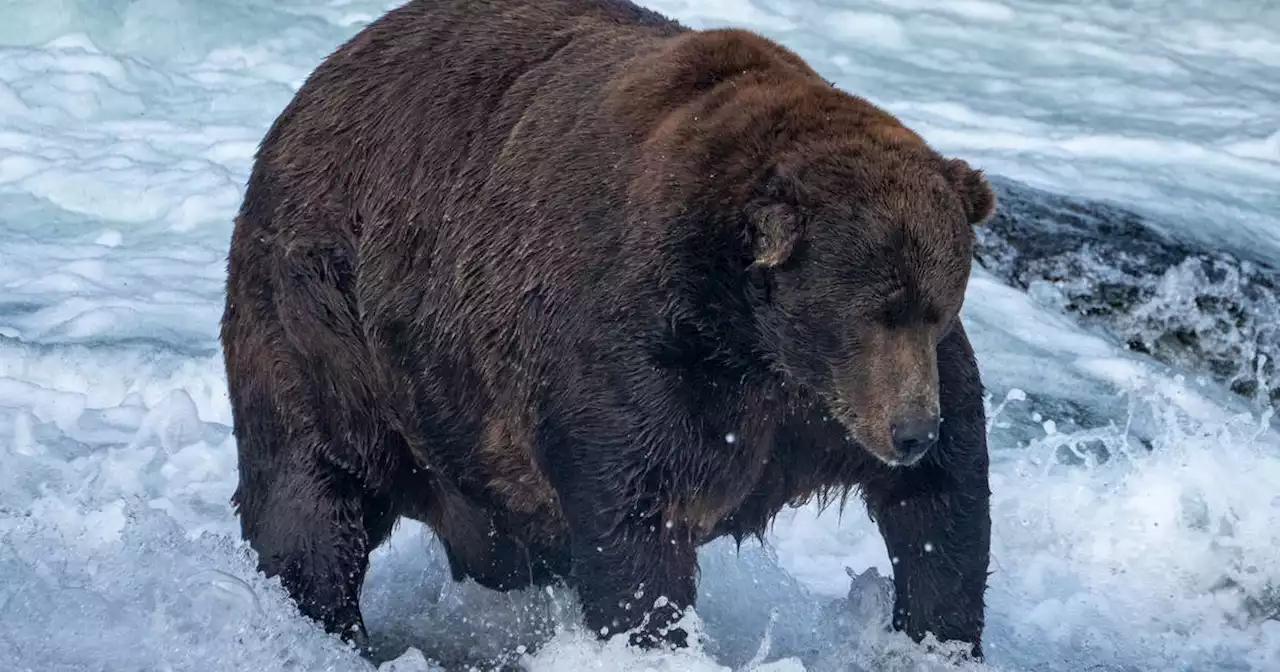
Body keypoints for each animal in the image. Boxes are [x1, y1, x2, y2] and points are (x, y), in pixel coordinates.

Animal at [220, 0, 998, 660]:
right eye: (872, 311)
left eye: (938, 307)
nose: (910, 431)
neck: (755, 342)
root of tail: (313, 85)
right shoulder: (643, 354)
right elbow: (635, 518)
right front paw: (655, 636)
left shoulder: (826, 407)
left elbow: (945, 503)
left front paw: (937, 636)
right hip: (328, 323)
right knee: (312, 493)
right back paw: (323, 623)